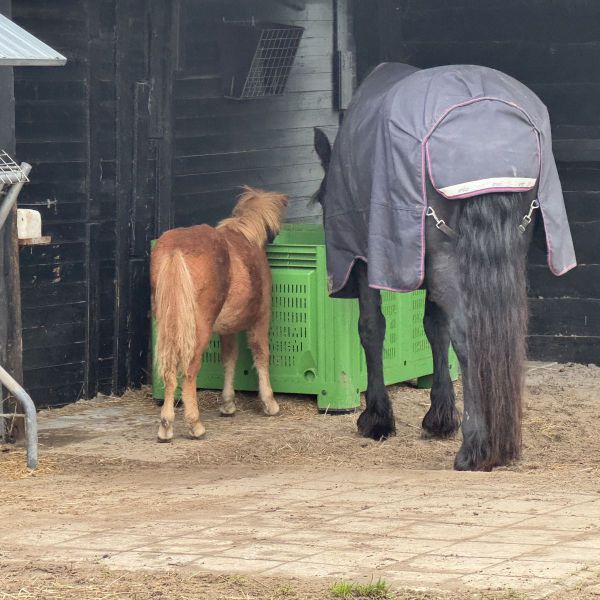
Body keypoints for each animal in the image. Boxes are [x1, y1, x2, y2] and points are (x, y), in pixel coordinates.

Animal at [152, 186, 288, 440]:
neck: (246, 236)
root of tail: (176, 249)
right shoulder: (261, 319)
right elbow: (261, 354)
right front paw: (269, 403)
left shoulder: (227, 329)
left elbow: (228, 359)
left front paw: (227, 404)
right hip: (198, 332)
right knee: (189, 370)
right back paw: (195, 424)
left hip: (168, 327)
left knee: (169, 369)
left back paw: (166, 425)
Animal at [312, 62, 576, 474]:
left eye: (323, 199)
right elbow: (434, 329)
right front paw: (439, 417)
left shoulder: (367, 261)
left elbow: (372, 328)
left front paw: (377, 418)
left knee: (467, 336)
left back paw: (475, 449)